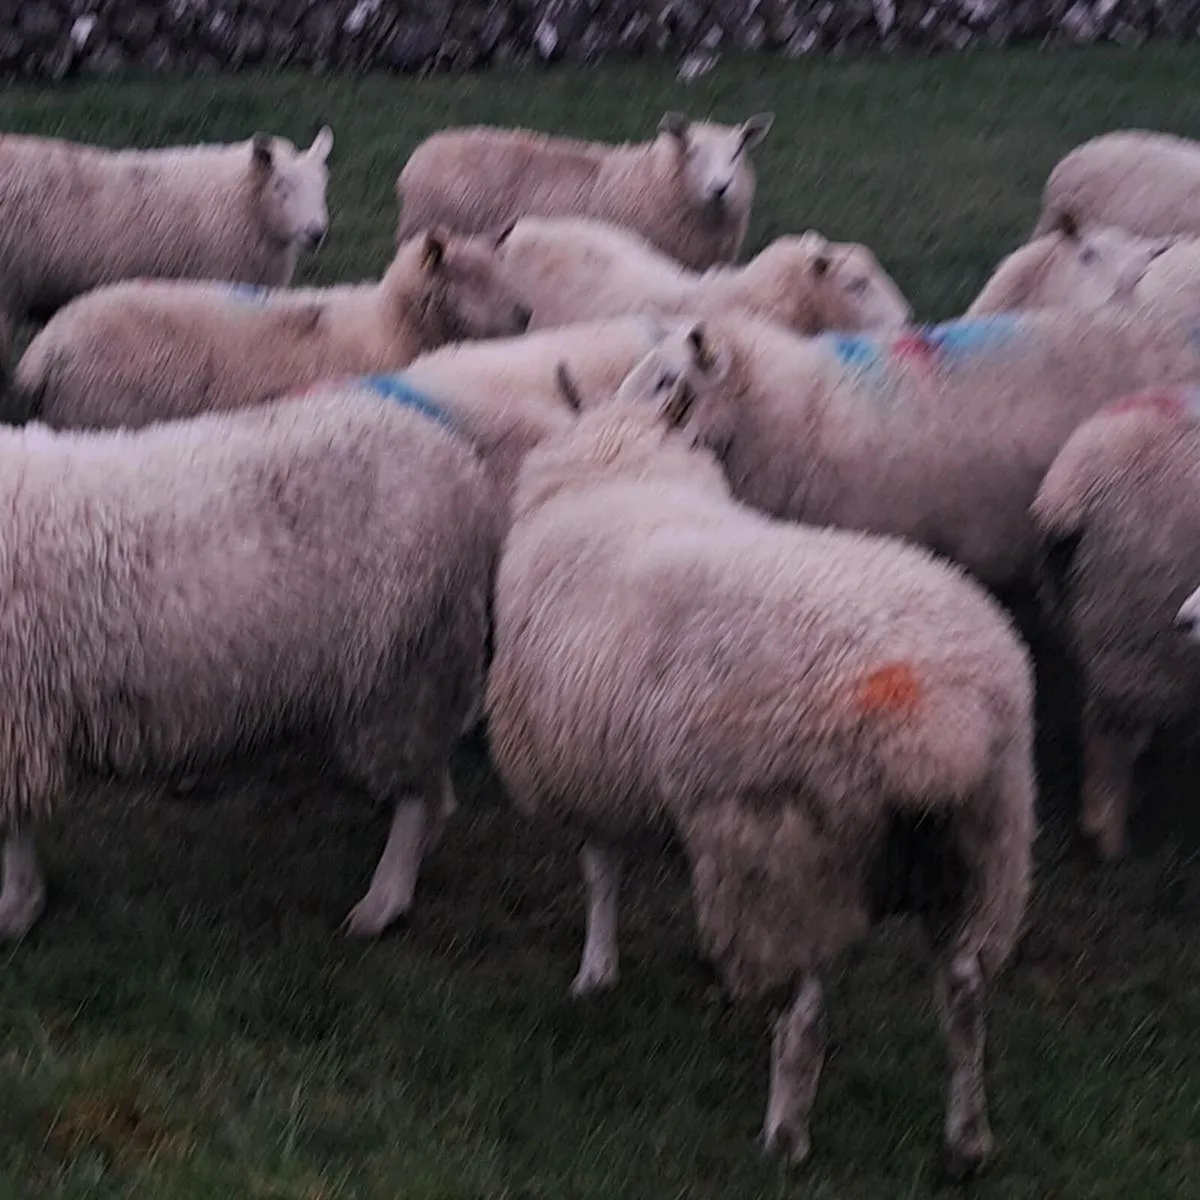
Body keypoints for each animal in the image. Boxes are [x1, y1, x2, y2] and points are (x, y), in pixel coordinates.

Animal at [0, 383, 499, 943]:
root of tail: (459, 458)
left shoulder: (15, 709)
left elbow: (13, 825)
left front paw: (15, 906)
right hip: (428, 662)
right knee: (432, 775)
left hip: (402, 670)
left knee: (414, 787)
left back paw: (384, 900)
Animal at [485, 372, 1035, 1180]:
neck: (623, 469)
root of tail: (937, 720)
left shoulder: (585, 768)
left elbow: (600, 872)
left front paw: (594, 973)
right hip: (982, 847)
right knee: (964, 996)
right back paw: (966, 1141)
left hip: (784, 856)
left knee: (802, 1017)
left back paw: (784, 1139)